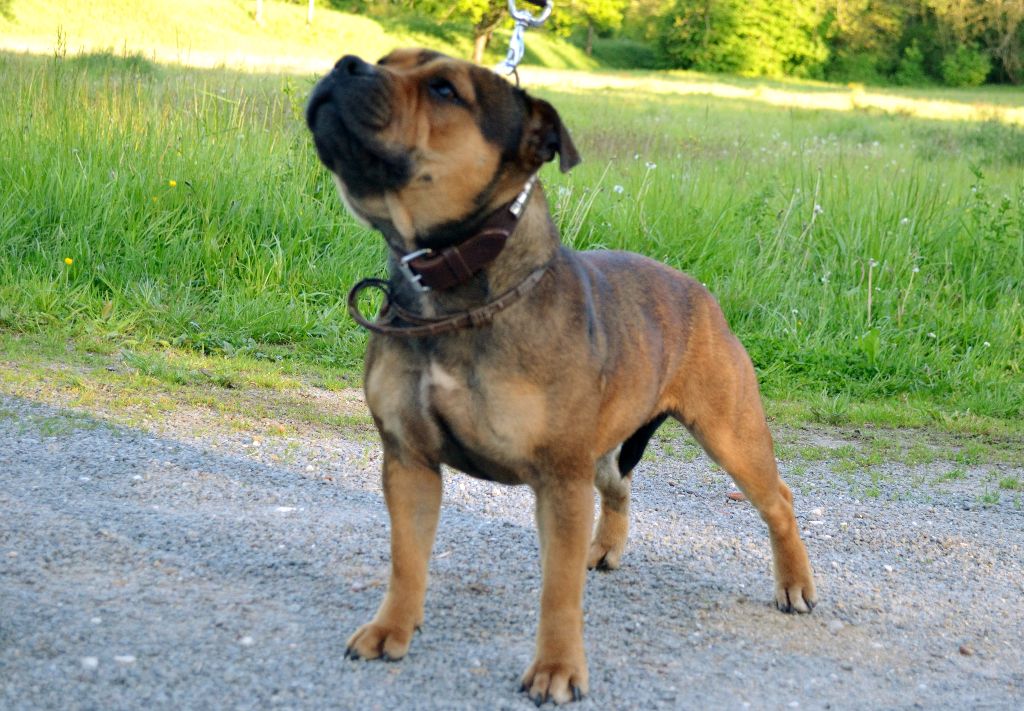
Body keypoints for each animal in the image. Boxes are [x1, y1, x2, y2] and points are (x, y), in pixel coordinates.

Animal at [306, 48, 816, 705]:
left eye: (445, 90)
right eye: (386, 59)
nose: (346, 64)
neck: (456, 289)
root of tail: (702, 293)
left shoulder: (558, 480)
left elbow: (558, 589)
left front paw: (556, 669)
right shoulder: (409, 459)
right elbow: (407, 557)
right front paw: (391, 628)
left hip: (730, 433)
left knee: (777, 500)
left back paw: (795, 585)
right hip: (607, 444)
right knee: (619, 486)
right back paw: (605, 548)